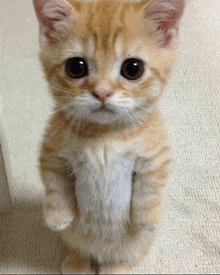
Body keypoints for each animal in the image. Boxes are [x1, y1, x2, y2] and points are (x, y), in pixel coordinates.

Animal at [32, 0, 184, 274]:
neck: (104, 135)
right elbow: (55, 184)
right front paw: (58, 215)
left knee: (120, 261)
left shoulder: (155, 154)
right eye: (76, 67)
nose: (102, 92)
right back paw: (76, 262)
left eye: (133, 69)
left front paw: (147, 216)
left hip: (133, 249)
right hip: (74, 238)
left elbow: (151, 185)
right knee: (79, 248)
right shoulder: (52, 152)